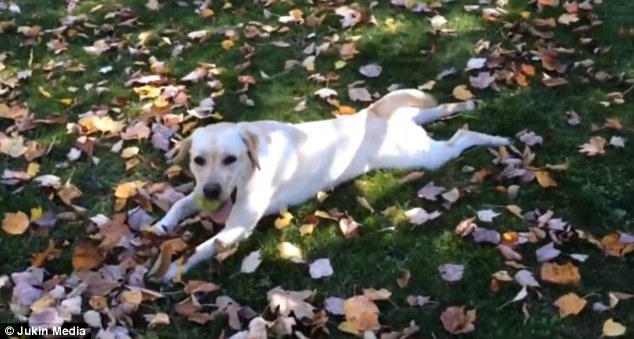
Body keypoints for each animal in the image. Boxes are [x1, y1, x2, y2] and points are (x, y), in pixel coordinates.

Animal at [152, 89, 508, 282]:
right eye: (199, 160)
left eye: (230, 159)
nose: (212, 192)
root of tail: (373, 113)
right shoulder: (198, 193)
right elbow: (179, 203)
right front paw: (161, 226)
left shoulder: (236, 228)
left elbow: (200, 248)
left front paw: (169, 272)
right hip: (414, 124)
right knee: (437, 109)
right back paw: (467, 105)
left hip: (421, 156)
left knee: (461, 135)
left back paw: (496, 138)